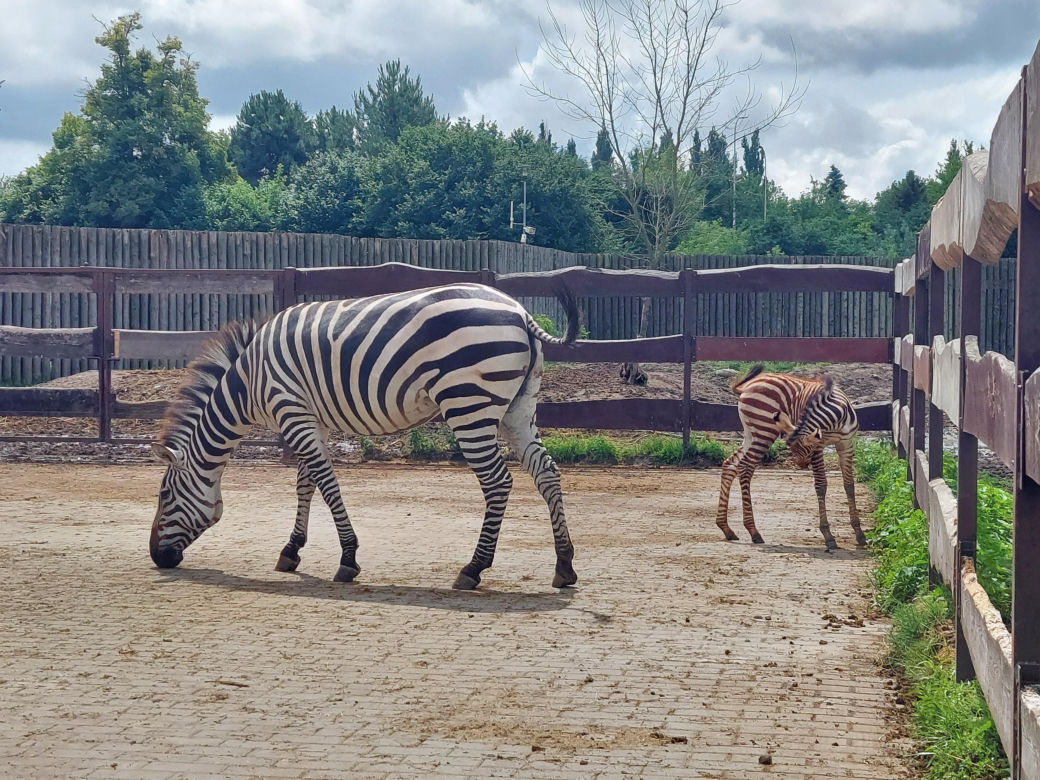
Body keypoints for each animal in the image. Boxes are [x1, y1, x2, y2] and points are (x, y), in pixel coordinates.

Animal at [149, 283, 580, 590]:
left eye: (164, 495)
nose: (156, 557)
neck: (248, 382)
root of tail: (521, 312)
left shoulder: (291, 412)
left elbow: (326, 484)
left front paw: (347, 558)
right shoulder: (309, 418)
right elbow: (305, 484)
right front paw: (291, 551)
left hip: (468, 404)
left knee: (497, 482)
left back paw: (473, 569)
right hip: (517, 409)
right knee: (547, 473)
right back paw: (564, 565)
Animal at [715, 364, 865, 550]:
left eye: (802, 450)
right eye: (793, 450)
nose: (801, 465)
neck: (837, 418)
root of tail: (747, 387)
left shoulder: (846, 444)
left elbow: (849, 485)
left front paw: (859, 533)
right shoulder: (819, 446)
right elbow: (821, 485)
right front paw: (828, 535)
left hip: (751, 433)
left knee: (730, 464)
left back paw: (726, 528)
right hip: (764, 431)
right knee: (745, 468)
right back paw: (753, 531)